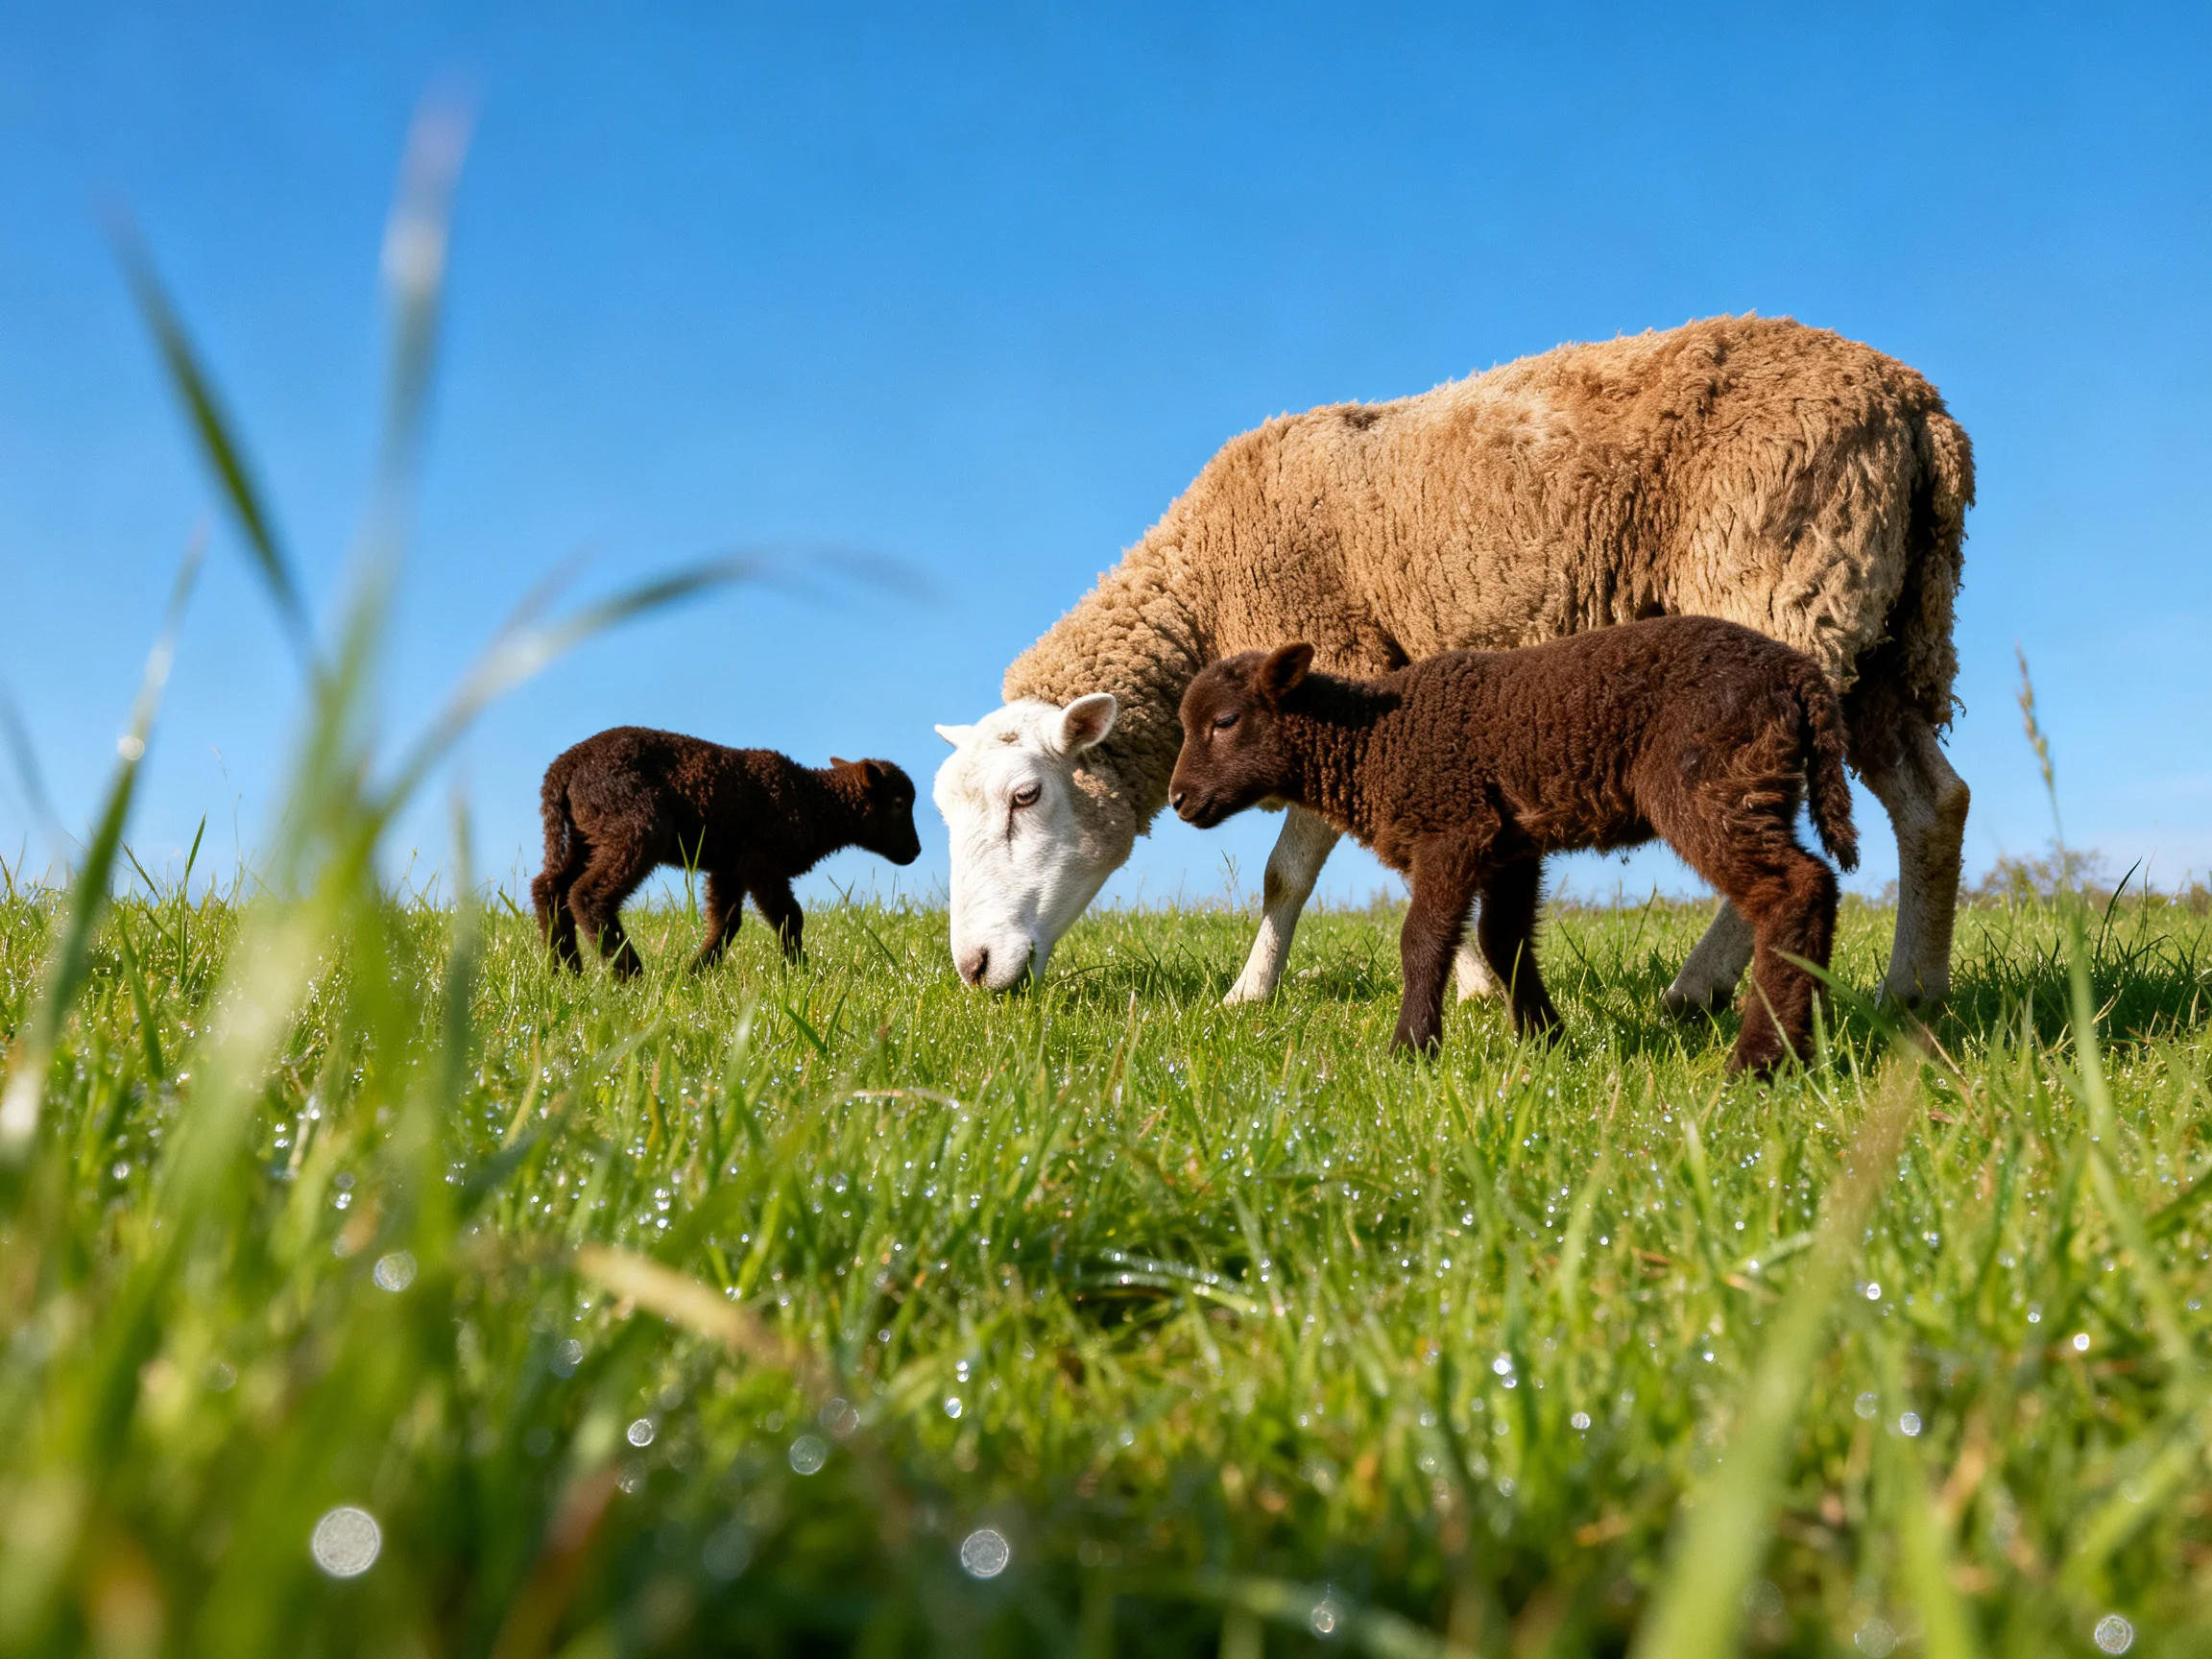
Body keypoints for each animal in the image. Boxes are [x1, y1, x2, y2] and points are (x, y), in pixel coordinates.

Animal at [532, 727, 921, 976]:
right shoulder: (761, 861)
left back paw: (564, 971)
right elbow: (790, 918)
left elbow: (726, 920)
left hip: (586, 833)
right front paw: (800, 974)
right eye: (899, 804)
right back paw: (627, 970)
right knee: (586, 893)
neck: (816, 803)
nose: (916, 851)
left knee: (549, 888)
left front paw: (697, 972)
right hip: (633, 825)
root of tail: (565, 767)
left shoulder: (729, 867)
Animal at [932, 314, 1970, 1007]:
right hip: (1875, 630)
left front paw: (1257, 997)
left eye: (1028, 796)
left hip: (1779, 593)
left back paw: (1699, 989)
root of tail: (1919, 410)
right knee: (1935, 803)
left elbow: (1288, 872)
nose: (972, 969)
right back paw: (1909, 996)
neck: (1204, 583)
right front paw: (1467, 988)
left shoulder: (1334, 672)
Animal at [1167, 618, 1859, 1073]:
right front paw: (1548, 1043)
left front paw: (1410, 1051)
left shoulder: (1452, 827)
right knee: (1818, 886)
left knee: (1791, 890)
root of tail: (1798, 675)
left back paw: (1760, 1061)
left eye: (1224, 722)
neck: (1372, 744)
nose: (1177, 800)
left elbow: (1422, 941)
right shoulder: (1512, 847)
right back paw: (1806, 1043)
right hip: (1760, 787)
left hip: (1709, 781)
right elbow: (1503, 942)